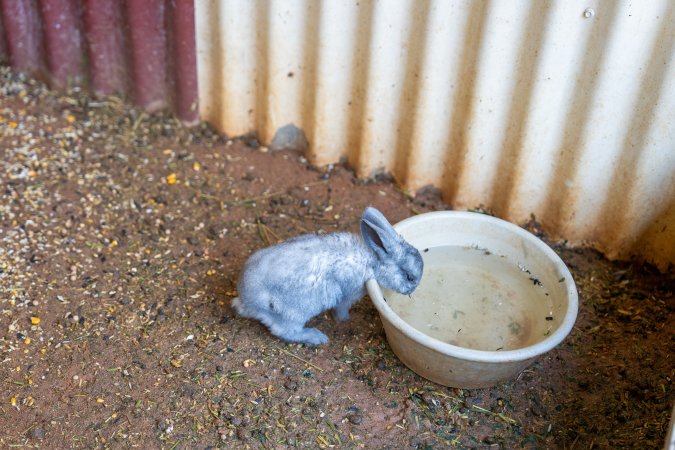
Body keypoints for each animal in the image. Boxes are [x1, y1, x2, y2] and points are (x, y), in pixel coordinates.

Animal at [231, 207, 424, 345]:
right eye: (409, 277)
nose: (412, 291)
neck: (372, 261)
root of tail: (247, 302)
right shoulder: (348, 295)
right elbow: (341, 309)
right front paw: (344, 320)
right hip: (293, 313)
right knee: (284, 331)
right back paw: (317, 337)